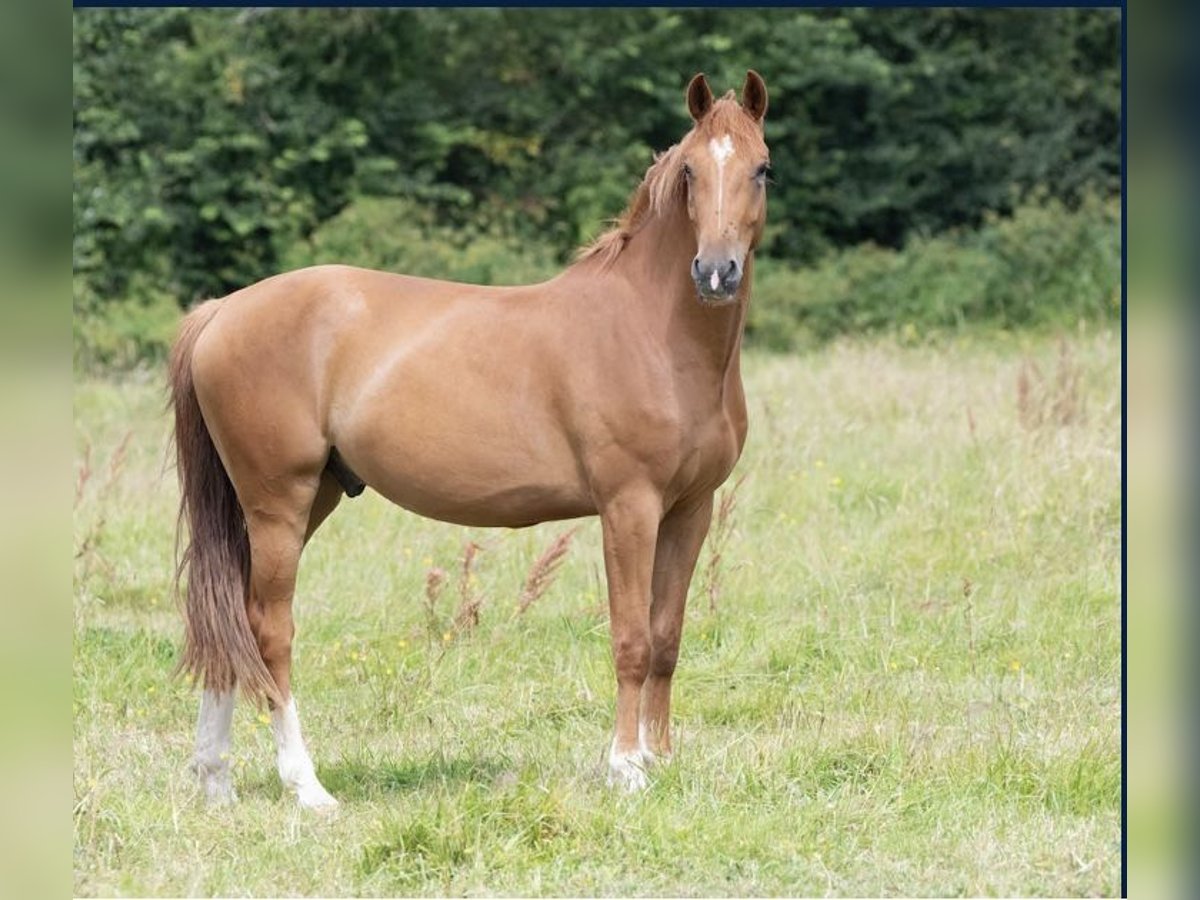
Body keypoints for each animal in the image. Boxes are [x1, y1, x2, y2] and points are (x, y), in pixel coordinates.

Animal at [174, 68, 772, 801]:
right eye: (690, 171)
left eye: (761, 169)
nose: (715, 273)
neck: (649, 333)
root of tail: (221, 311)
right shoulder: (629, 506)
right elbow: (631, 638)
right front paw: (626, 768)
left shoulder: (690, 509)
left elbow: (665, 637)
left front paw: (659, 758)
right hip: (277, 504)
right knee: (268, 628)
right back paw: (307, 787)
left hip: (301, 500)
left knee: (228, 615)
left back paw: (215, 780)